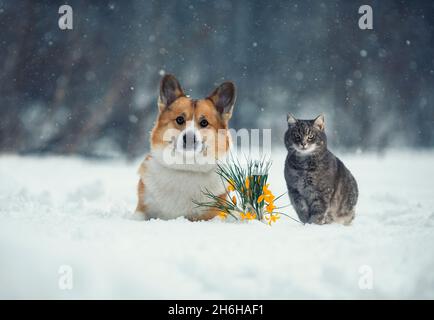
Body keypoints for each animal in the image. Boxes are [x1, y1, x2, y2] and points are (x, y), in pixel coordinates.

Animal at [136, 74, 237, 221]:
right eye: (179, 119)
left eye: (204, 122)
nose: (189, 138)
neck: (186, 167)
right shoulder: (142, 209)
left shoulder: (212, 214)